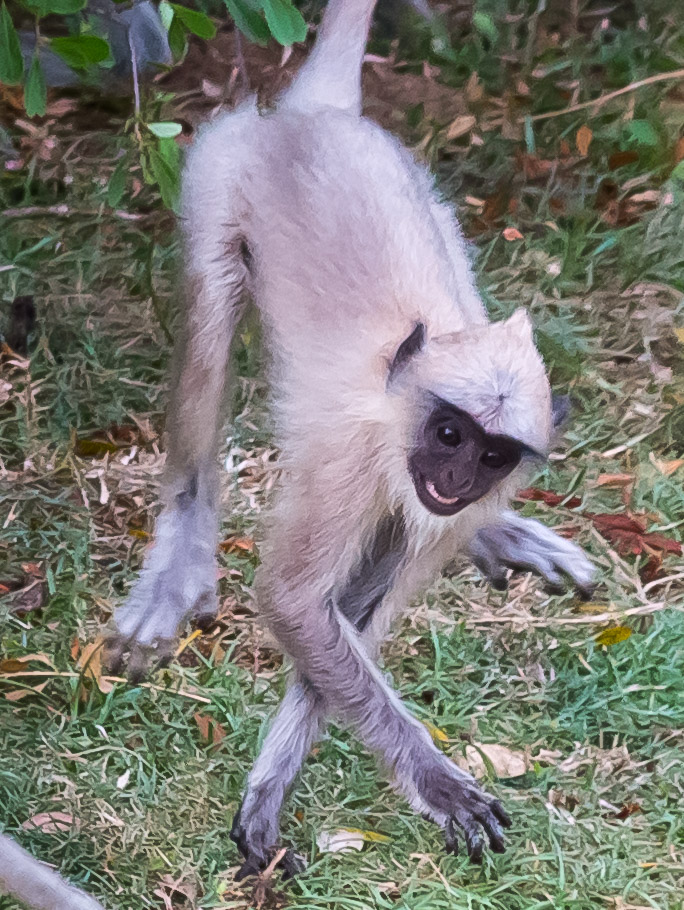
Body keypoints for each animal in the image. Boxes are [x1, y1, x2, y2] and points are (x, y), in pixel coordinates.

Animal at [104, 0, 596, 876]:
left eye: (492, 454)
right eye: (448, 432)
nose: (457, 479)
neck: (398, 413)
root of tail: (316, 116)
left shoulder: (433, 511)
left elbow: (344, 621)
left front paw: (269, 792)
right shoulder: (350, 470)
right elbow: (296, 604)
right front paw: (438, 784)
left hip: (429, 203)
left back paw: (499, 535)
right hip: (220, 170)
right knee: (213, 317)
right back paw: (179, 560)